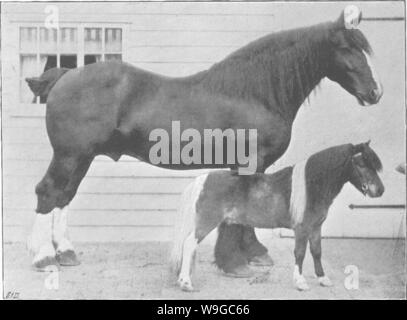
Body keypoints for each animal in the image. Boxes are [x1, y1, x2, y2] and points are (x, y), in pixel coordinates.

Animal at [28, 6, 382, 274]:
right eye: (347, 49)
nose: (375, 92)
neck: (254, 93)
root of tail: (66, 75)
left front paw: (249, 255)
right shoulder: (250, 162)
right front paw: (240, 261)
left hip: (81, 158)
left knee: (64, 196)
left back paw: (66, 254)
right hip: (69, 155)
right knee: (48, 192)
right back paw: (44, 257)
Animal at [171, 141, 386, 292]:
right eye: (361, 163)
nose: (380, 190)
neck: (311, 186)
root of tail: (202, 179)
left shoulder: (316, 227)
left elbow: (317, 252)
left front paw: (323, 279)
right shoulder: (302, 229)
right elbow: (300, 253)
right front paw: (300, 282)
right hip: (206, 222)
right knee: (189, 244)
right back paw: (186, 283)